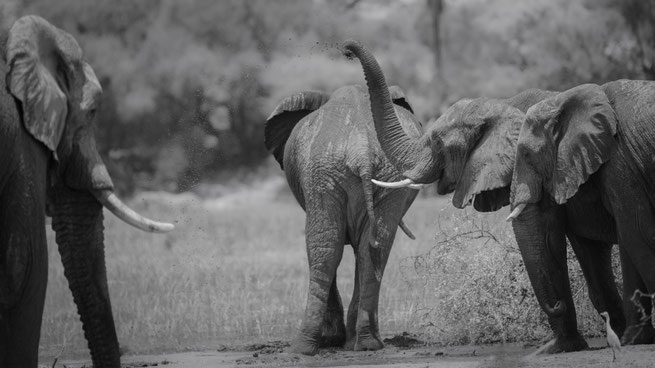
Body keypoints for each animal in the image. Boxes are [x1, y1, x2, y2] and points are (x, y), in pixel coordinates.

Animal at [266, 83, 422, 354]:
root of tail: (362, 148)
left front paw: (335, 340)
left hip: (326, 174)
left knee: (326, 248)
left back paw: (312, 345)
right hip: (355, 175)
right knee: (366, 249)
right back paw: (363, 344)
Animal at [340, 38, 652, 352]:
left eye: (438, 143)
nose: (346, 50)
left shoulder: (618, 165)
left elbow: (633, 233)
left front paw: (628, 339)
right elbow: (566, 242)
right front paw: (567, 346)